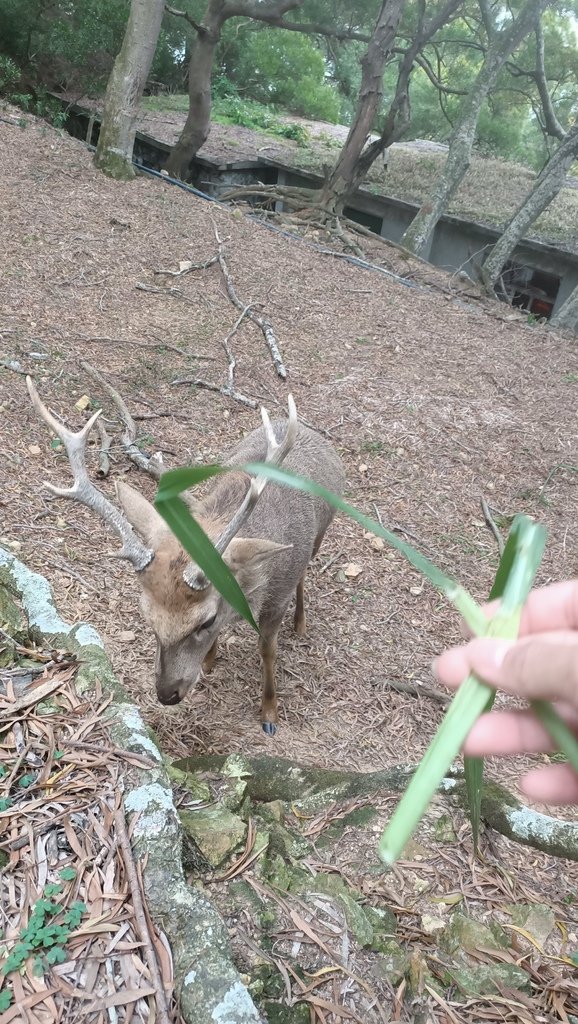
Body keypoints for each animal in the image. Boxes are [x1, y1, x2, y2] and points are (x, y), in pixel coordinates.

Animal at [26, 380, 342, 733]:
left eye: (205, 620)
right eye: (147, 617)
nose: (167, 695)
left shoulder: (277, 597)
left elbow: (267, 651)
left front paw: (269, 714)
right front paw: (209, 661)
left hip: (321, 533)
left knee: (307, 570)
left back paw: (300, 622)